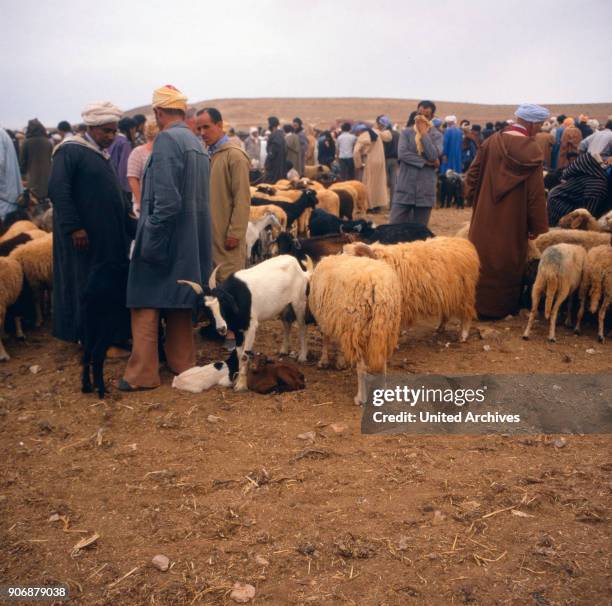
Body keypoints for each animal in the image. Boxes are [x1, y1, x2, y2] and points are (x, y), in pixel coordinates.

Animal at [80, 262, 130, 400]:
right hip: (108, 324)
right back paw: (101, 390)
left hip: (90, 322)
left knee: (87, 352)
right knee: (97, 352)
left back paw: (87, 386)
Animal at [176, 256, 310, 394]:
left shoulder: (251, 327)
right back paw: (283, 350)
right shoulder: (237, 330)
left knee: (302, 327)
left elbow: (245, 356)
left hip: (299, 302)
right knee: (286, 324)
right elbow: (239, 354)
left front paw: (241, 385)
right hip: (283, 306)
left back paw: (302, 356)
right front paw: (237, 379)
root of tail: (298, 265)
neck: (236, 298)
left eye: (221, 302)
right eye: (205, 309)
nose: (221, 328)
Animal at [308, 254, 404, 406]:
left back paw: (360, 397)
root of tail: (378, 286)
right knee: (382, 361)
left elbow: (326, 339)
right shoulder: (339, 320)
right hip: (387, 328)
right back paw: (383, 391)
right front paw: (340, 361)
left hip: (357, 327)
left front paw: (324, 361)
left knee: (361, 369)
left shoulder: (326, 319)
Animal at [342, 236, 480, 342]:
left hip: (464, 294)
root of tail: (464, 243)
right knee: (446, 312)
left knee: (467, 315)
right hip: (448, 294)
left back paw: (463, 336)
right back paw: (440, 328)